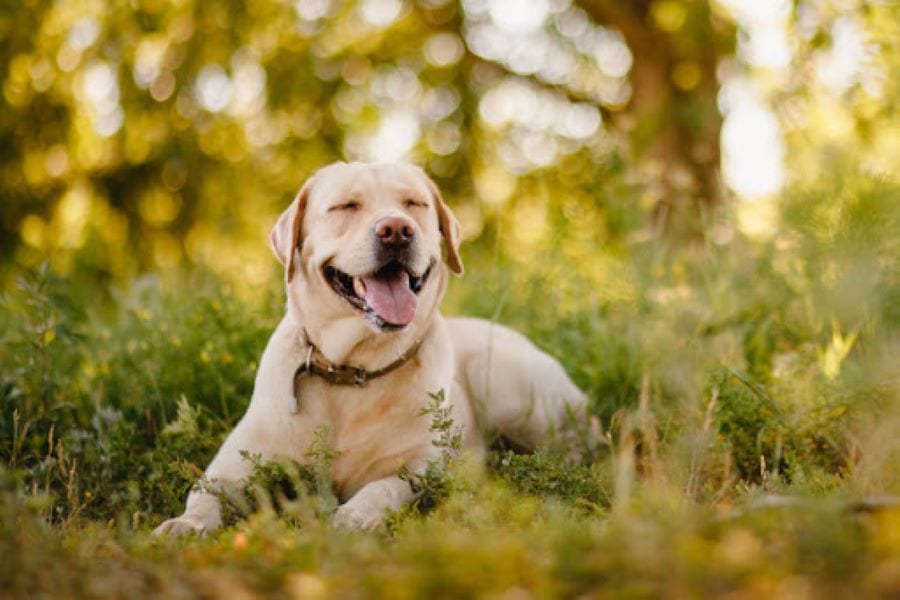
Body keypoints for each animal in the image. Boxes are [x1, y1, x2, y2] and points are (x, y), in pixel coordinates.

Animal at [153, 161, 592, 536]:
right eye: (346, 206)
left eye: (413, 204)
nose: (397, 230)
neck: (351, 369)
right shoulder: (233, 464)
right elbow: (205, 494)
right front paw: (185, 525)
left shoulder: (417, 467)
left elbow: (382, 488)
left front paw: (354, 516)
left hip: (505, 383)